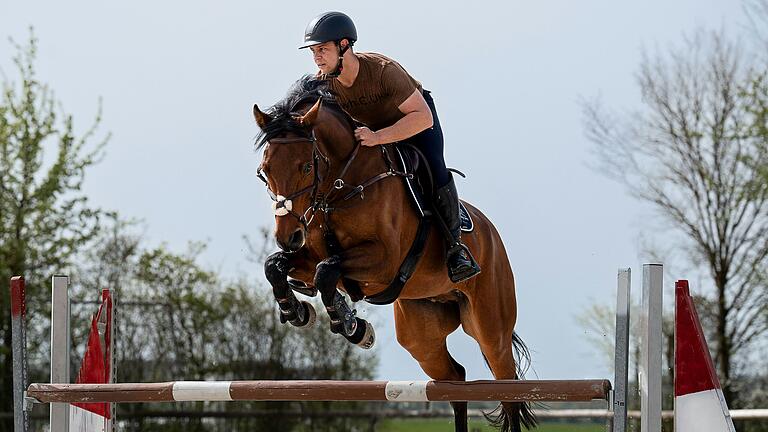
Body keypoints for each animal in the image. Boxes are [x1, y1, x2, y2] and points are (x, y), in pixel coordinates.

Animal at [252, 76, 536, 430]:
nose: (287, 236)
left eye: (306, 166)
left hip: (490, 326)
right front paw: (298, 311)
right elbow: (277, 266)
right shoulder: (309, 257)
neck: (341, 185)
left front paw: (351, 326)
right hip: (421, 331)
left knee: (508, 387)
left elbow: (327, 271)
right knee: (454, 380)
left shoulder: (384, 263)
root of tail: (492, 234)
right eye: (265, 170)